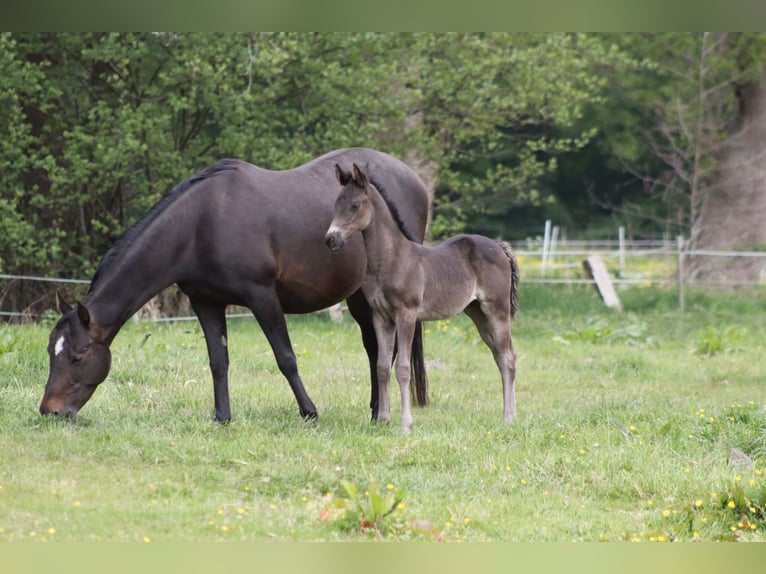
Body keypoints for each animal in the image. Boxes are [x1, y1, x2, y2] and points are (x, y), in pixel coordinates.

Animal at [39, 148, 430, 423]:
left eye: (76, 357)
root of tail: (414, 179)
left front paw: (309, 411)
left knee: (381, 350)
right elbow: (218, 360)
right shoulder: (205, 302)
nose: (49, 411)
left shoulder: (262, 296)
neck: (199, 226)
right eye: (50, 352)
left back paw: (379, 413)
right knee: (374, 348)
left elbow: (286, 358)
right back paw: (376, 411)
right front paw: (222, 416)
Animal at [324, 163, 519, 431]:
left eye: (355, 205)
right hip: (478, 313)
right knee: (500, 356)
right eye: (336, 203)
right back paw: (510, 416)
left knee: (508, 357)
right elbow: (382, 367)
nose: (330, 239)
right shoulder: (381, 317)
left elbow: (403, 368)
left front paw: (405, 424)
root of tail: (500, 247)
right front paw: (383, 419)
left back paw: (509, 419)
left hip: (497, 310)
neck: (390, 260)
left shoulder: (406, 314)